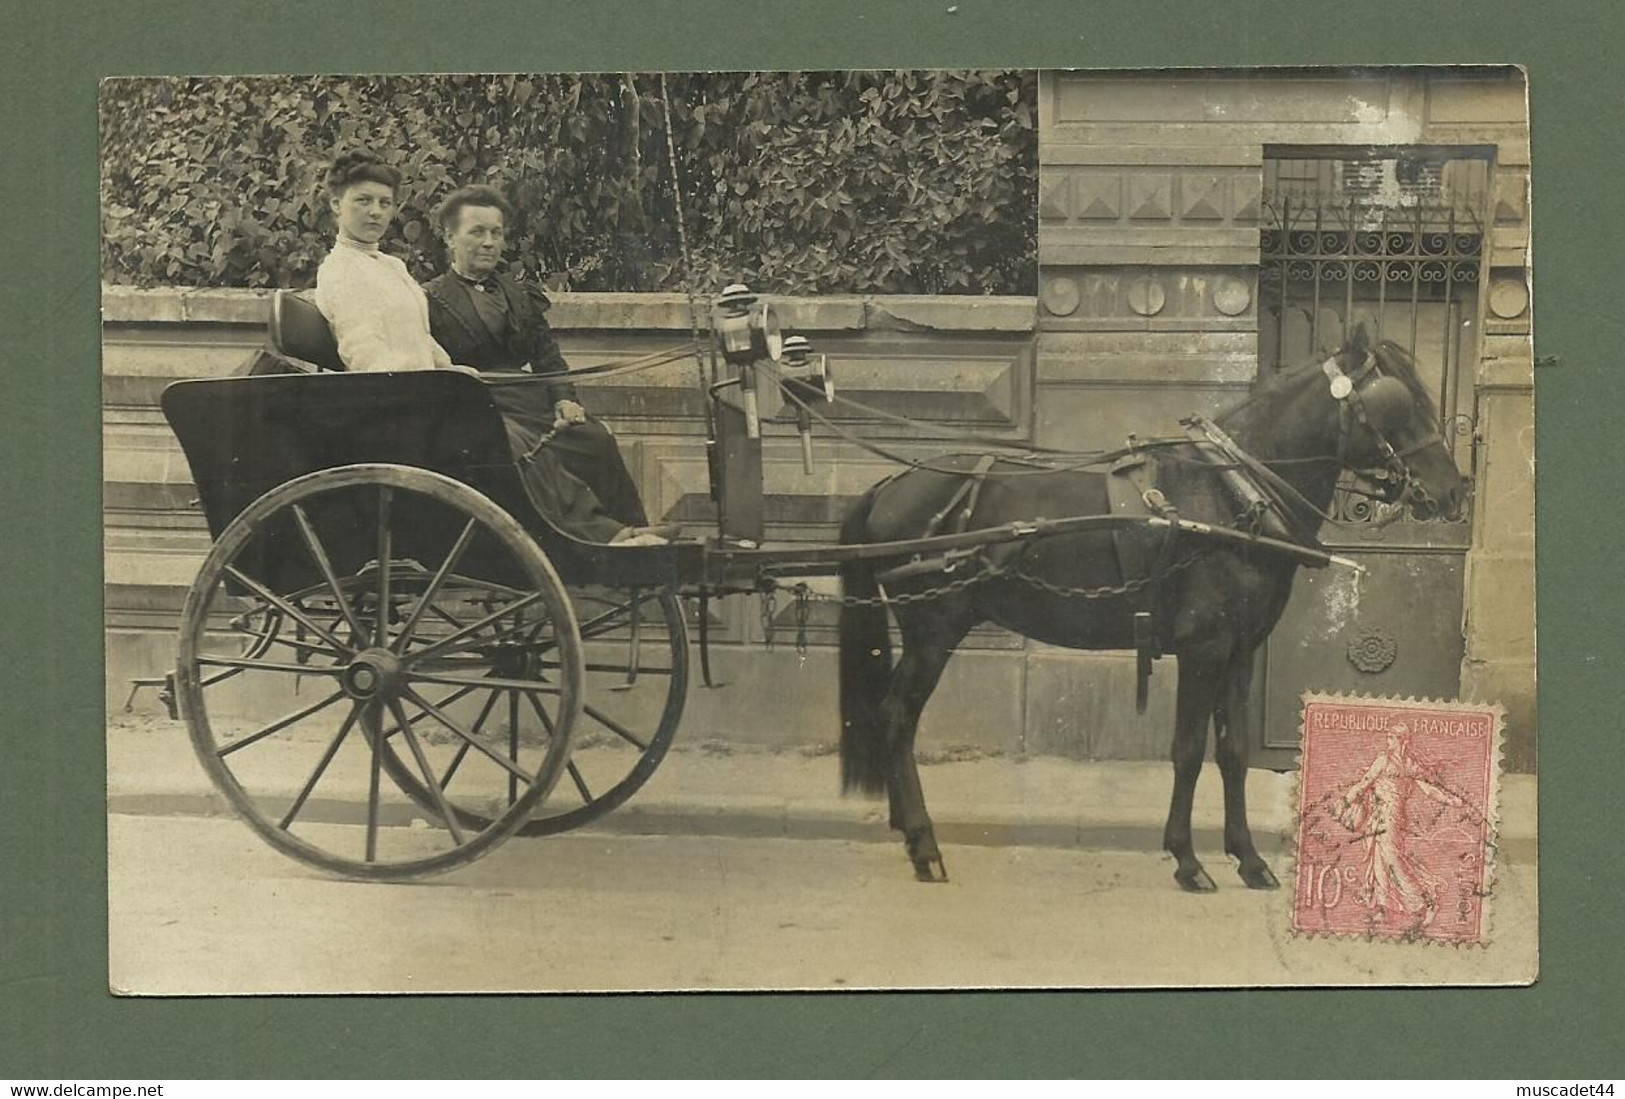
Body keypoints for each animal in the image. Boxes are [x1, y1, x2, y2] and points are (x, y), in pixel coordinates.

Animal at [838, 328, 1475, 890]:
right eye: (1398, 404)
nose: (1454, 491)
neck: (1232, 496)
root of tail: (889, 485)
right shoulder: (1204, 648)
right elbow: (1188, 751)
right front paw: (1187, 860)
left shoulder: (1241, 650)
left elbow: (1233, 751)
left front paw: (1247, 858)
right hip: (933, 630)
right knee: (896, 716)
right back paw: (923, 842)